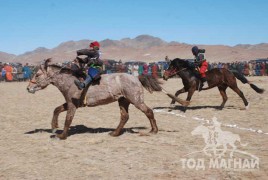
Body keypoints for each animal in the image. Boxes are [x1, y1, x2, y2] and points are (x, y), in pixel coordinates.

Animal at [25, 58, 180, 140]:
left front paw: (62, 135)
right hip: (123, 101)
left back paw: (153, 131)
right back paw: (115, 133)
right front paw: (53, 126)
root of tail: (136, 77)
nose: (28, 88)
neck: (70, 80)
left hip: (136, 100)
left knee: (148, 112)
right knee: (125, 116)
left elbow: (68, 119)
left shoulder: (72, 105)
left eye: (37, 75)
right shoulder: (70, 103)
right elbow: (56, 110)